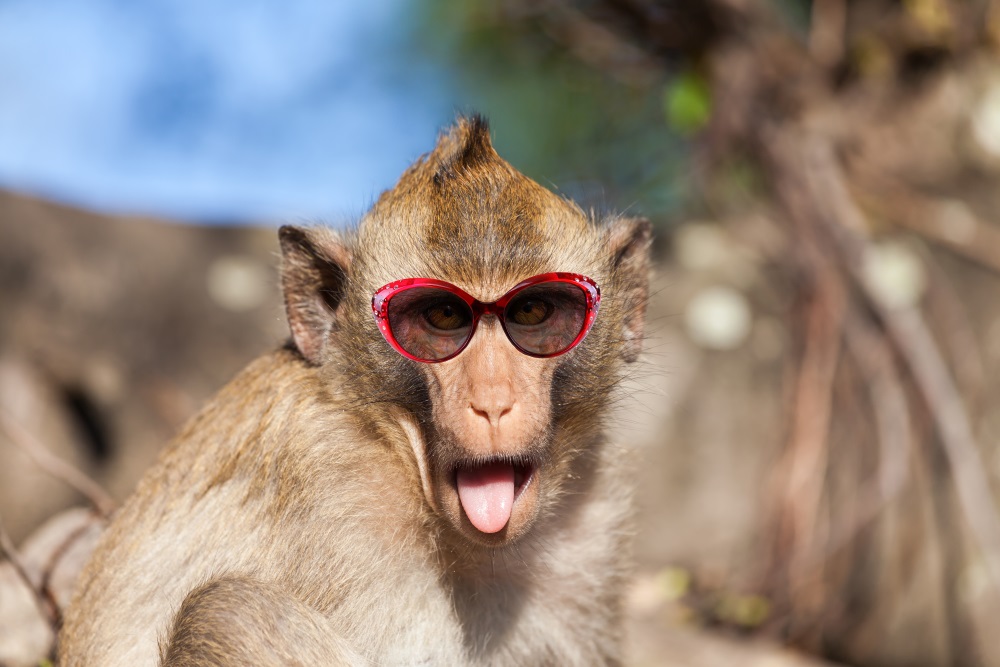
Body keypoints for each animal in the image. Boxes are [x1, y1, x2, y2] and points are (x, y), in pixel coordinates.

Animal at [58, 117, 652, 664]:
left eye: (532, 312)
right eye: (442, 317)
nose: (492, 401)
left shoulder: (589, 530)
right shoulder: (337, 494)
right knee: (231, 612)